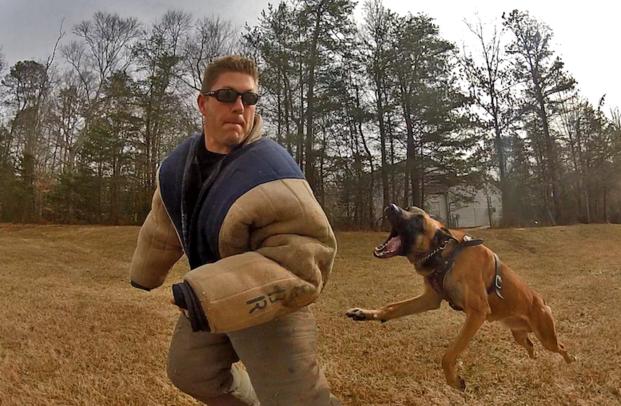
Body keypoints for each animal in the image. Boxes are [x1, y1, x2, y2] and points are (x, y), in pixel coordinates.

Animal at [346, 205, 568, 392]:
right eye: (408, 209)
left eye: (419, 219)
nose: (390, 207)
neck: (446, 254)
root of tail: (541, 301)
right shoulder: (430, 299)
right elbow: (392, 307)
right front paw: (365, 313)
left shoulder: (477, 313)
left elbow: (448, 355)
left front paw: (454, 381)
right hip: (519, 334)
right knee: (530, 345)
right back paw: (533, 357)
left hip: (547, 337)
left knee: (561, 347)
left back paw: (570, 361)